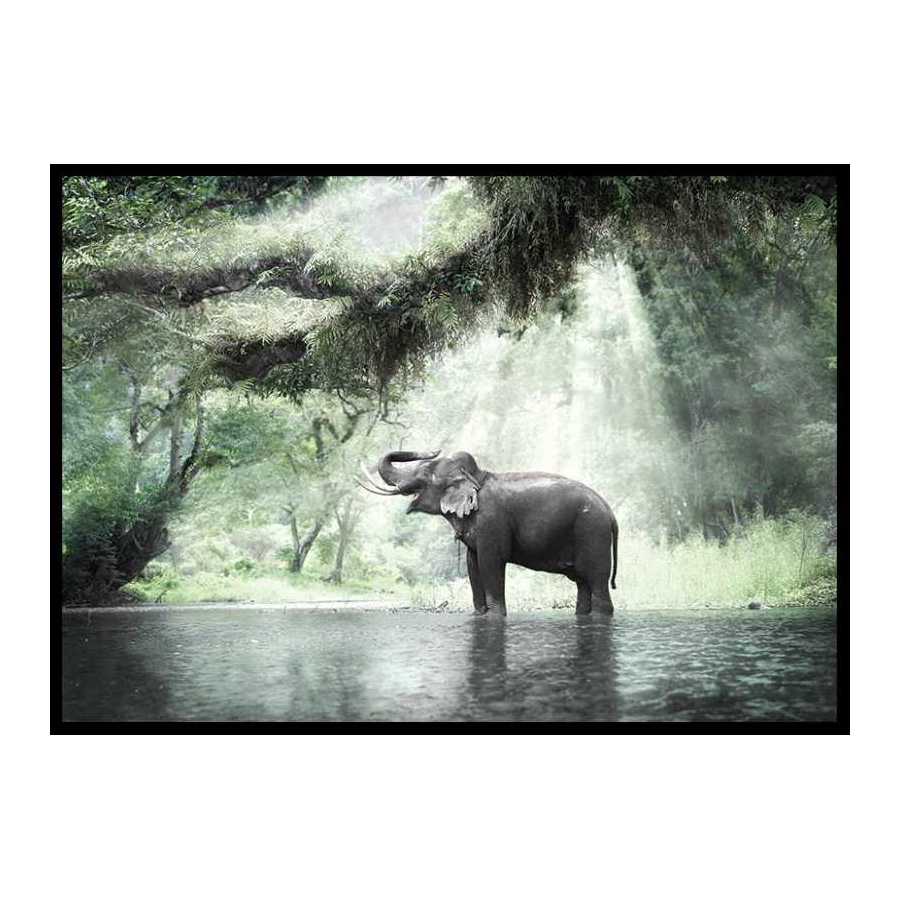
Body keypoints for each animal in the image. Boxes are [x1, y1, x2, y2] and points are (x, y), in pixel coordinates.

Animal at [356, 449, 618, 616]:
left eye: (423, 474)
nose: (432, 449)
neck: (476, 476)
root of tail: (610, 512)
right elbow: (473, 564)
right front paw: (478, 615)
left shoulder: (492, 521)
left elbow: (491, 561)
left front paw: (495, 616)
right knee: (583, 585)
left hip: (592, 533)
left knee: (597, 582)